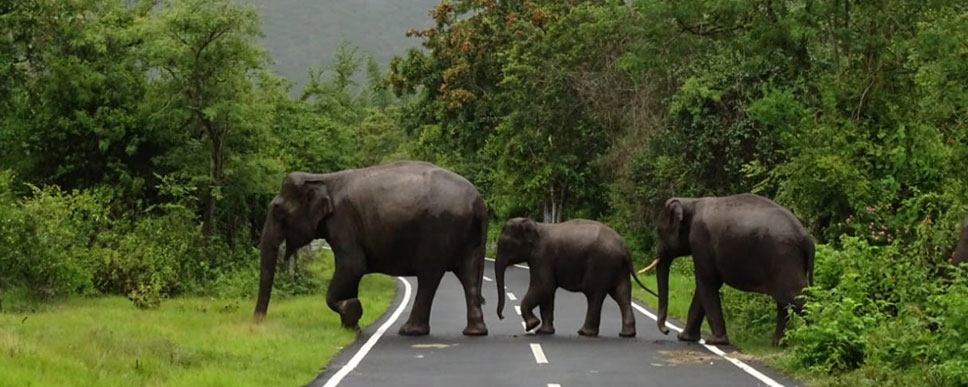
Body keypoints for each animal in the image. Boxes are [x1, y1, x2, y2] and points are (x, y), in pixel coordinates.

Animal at [253, 161, 488, 336]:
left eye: (278, 211)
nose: (257, 322)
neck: (323, 178)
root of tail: (479, 202)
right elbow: (351, 274)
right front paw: (350, 327)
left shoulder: (343, 222)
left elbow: (352, 267)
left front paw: (352, 311)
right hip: (468, 237)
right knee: (468, 275)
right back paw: (474, 332)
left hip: (438, 231)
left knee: (429, 277)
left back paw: (410, 331)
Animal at [492, 220, 656, 338]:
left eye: (505, 245)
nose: (501, 317)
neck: (536, 225)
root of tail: (625, 248)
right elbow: (547, 292)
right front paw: (544, 332)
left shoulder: (542, 257)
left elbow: (544, 287)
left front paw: (532, 325)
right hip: (619, 268)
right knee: (621, 294)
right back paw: (626, 334)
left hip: (601, 264)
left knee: (595, 295)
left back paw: (584, 333)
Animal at [644, 196, 816, 348]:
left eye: (660, 232)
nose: (666, 331)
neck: (691, 202)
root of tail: (806, 237)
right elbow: (707, 285)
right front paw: (685, 338)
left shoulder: (700, 239)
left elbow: (706, 282)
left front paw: (714, 342)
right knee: (785, 302)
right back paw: (778, 345)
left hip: (784, 257)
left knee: (795, 297)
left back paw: (810, 338)